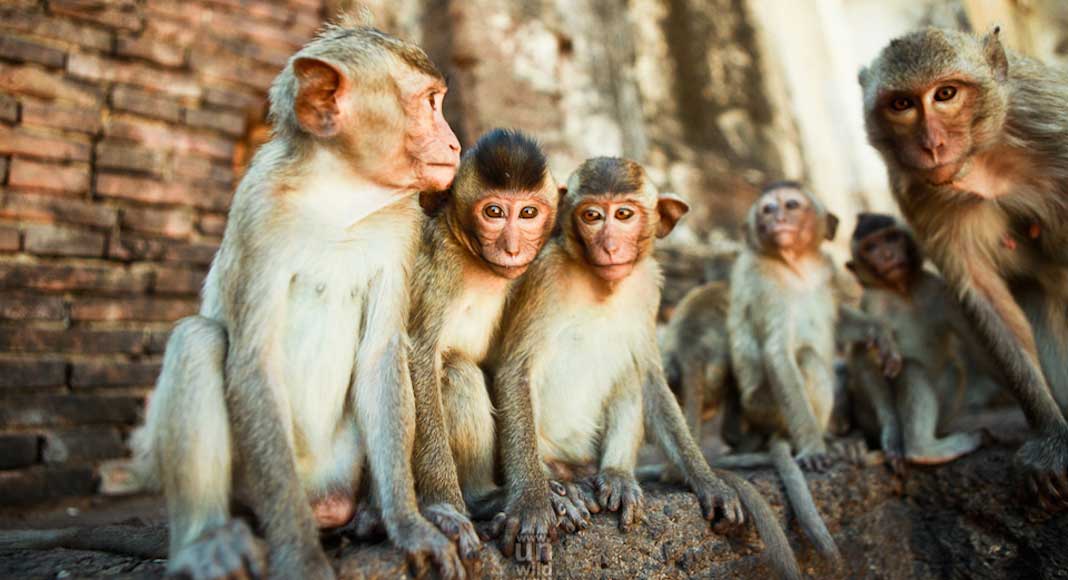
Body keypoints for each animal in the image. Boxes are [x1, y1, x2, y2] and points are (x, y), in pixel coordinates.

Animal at [403, 126, 572, 563]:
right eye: (493, 212)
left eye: (527, 213)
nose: (512, 247)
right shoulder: (436, 265)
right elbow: (418, 358)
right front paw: (445, 510)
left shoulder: (533, 274)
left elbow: (511, 368)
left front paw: (539, 494)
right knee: (456, 370)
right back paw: (478, 499)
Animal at [484, 157, 803, 580]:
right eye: (591, 216)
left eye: (623, 215)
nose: (609, 245)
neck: (600, 283)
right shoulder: (544, 275)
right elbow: (515, 370)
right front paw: (533, 502)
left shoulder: (649, 284)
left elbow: (650, 377)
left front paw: (707, 479)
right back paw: (560, 487)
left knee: (630, 370)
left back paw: (616, 475)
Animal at [713, 180, 905, 563]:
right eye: (767, 209)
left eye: (790, 205)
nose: (777, 219)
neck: (795, 265)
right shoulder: (763, 281)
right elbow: (779, 354)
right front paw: (813, 447)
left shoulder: (826, 270)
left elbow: (841, 321)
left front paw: (881, 333)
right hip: (766, 407)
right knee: (807, 359)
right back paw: (819, 440)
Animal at [841, 213, 982, 472]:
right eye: (871, 247)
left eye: (891, 238)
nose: (887, 255)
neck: (902, 291)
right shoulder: (873, 302)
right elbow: (866, 357)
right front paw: (892, 438)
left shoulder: (938, 289)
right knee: (909, 367)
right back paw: (923, 450)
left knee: (952, 369)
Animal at [858, 27, 1068, 508]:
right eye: (902, 104)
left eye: (945, 94)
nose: (931, 145)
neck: (983, 160)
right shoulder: (917, 193)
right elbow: (982, 292)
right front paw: (1052, 437)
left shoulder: (1051, 122)